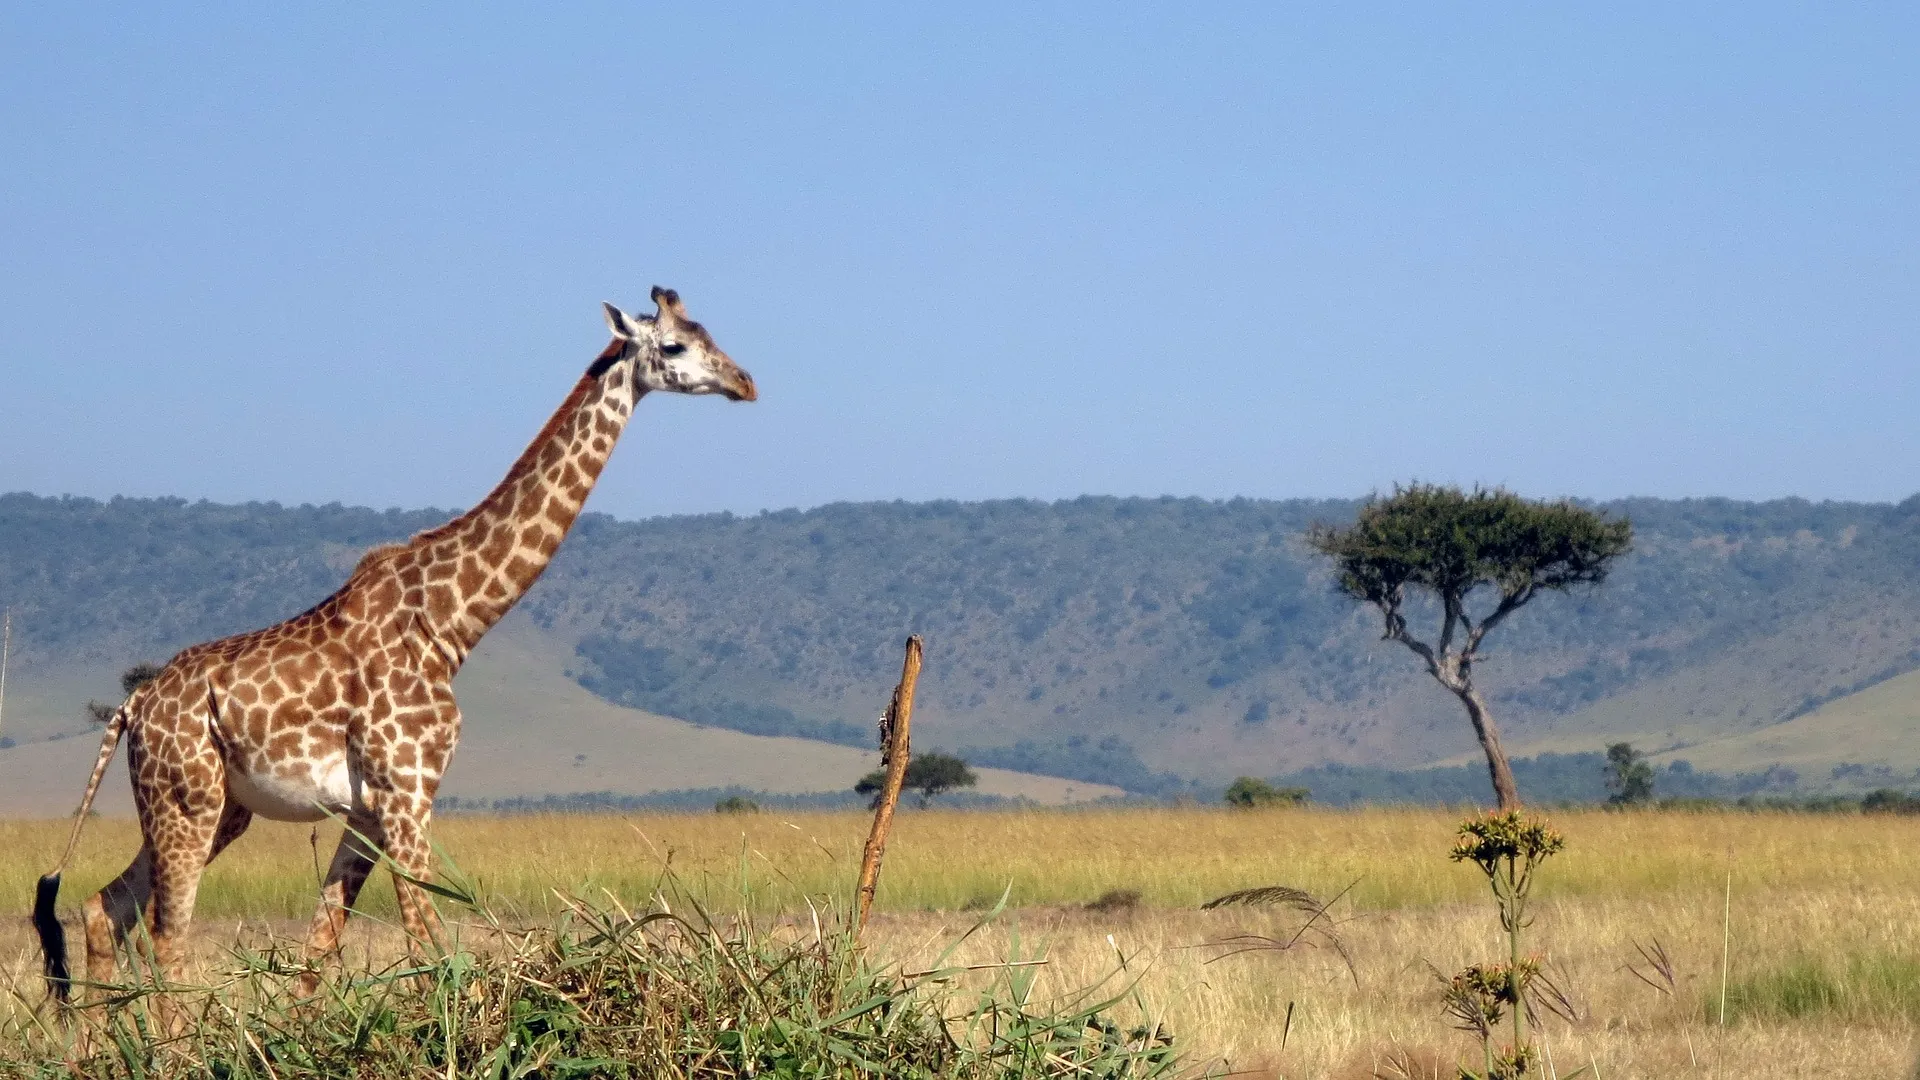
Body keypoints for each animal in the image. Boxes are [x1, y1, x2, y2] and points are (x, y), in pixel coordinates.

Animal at [35, 284, 756, 999]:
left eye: (710, 332)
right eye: (675, 345)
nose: (744, 383)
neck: (451, 622)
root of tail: (133, 708)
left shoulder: (369, 806)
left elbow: (319, 954)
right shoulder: (409, 791)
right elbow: (431, 944)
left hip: (216, 808)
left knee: (106, 907)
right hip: (188, 800)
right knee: (168, 941)